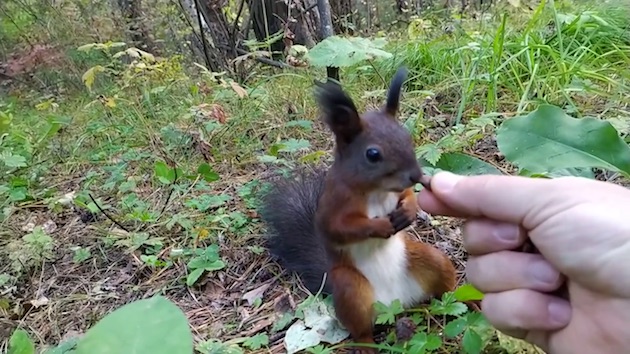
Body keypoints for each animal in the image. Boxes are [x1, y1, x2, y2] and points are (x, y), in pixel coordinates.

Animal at [260, 68, 456, 352]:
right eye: (372, 154)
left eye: (407, 137)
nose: (416, 175)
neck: (377, 190)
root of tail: (395, 303)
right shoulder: (334, 203)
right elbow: (340, 228)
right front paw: (379, 226)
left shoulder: (397, 192)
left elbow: (407, 196)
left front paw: (408, 211)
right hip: (350, 288)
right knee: (361, 328)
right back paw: (366, 344)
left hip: (429, 259)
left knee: (447, 289)